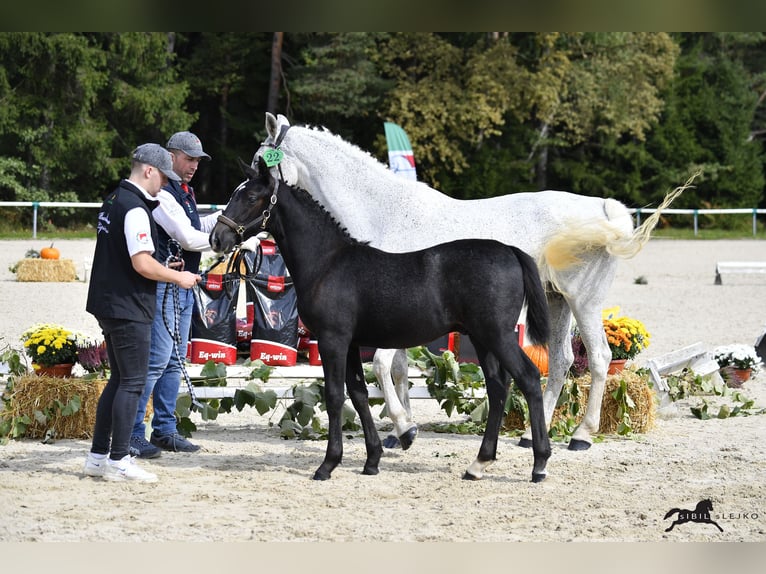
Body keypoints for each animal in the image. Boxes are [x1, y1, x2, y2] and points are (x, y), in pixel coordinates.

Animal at [210, 160, 552, 484]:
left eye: (251, 197)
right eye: (234, 194)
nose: (217, 238)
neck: (327, 262)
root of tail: (510, 251)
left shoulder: (333, 340)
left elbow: (335, 396)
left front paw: (328, 465)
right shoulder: (350, 343)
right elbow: (359, 393)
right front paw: (372, 461)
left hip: (498, 336)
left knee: (529, 378)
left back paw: (539, 464)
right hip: (482, 339)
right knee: (498, 388)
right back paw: (478, 464)